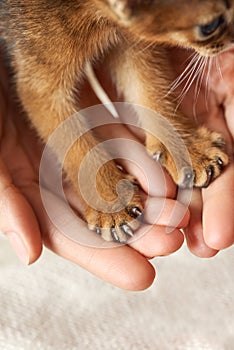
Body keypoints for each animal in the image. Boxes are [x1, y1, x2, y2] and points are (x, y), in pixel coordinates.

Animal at [0, 0, 231, 242]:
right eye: (209, 26)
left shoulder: (130, 38)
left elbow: (149, 85)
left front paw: (191, 149)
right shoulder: (38, 84)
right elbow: (73, 142)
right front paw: (110, 207)